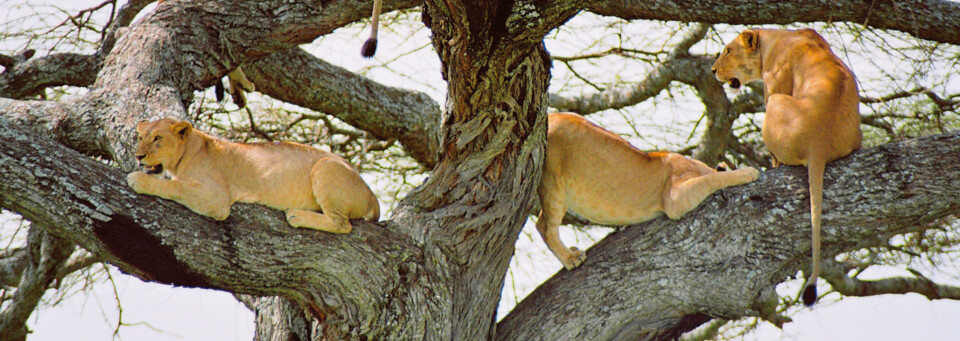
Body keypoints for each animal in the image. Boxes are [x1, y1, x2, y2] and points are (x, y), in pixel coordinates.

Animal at [126, 117, 378, 234]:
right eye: (141, 138)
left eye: (157, 138)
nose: (138, 156)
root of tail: (371, 194)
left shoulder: (217, 199)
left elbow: (176, 187)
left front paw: (138, 179)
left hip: (326, 165)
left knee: (342, 224)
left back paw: (296, 215)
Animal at [540, 113, 756, 270]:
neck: (697, 165)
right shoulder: (674, 198)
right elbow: (713, 179)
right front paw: (750, 172)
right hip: (552, 181)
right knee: (544, 227)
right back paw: (571, 258)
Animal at [712, 27, 864, 304]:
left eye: (727, 50)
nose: (713, 70)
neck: (774, 38)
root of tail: (818, 144)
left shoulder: (773, 85)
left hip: (776, 103)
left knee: (777, 157)